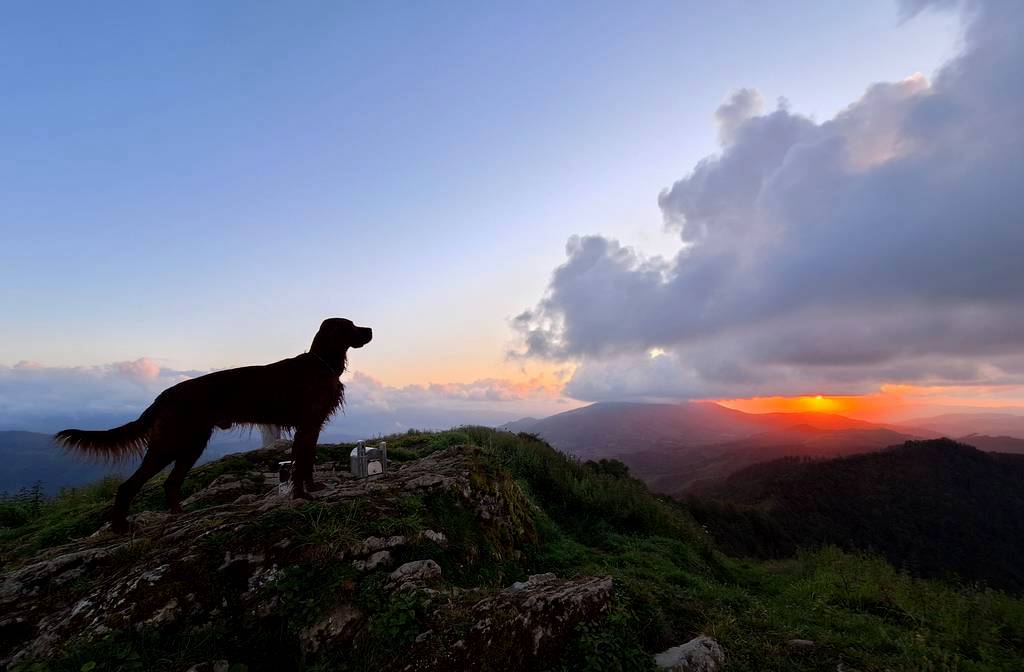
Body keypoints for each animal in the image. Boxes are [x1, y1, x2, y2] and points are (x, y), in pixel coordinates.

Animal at [52, 317, 372, 532]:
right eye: (350, 325)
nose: (370, 330)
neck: (321, 362)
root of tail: (163, 397)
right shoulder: (306, 426)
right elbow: (301, 464)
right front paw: (301, 495)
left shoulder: (312, 427)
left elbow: (307, 463)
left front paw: (312, 487)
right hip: (170, 444)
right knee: (128, 485)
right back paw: (121, 527)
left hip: (191, 444)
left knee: (170, 482)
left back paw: (179, 514)